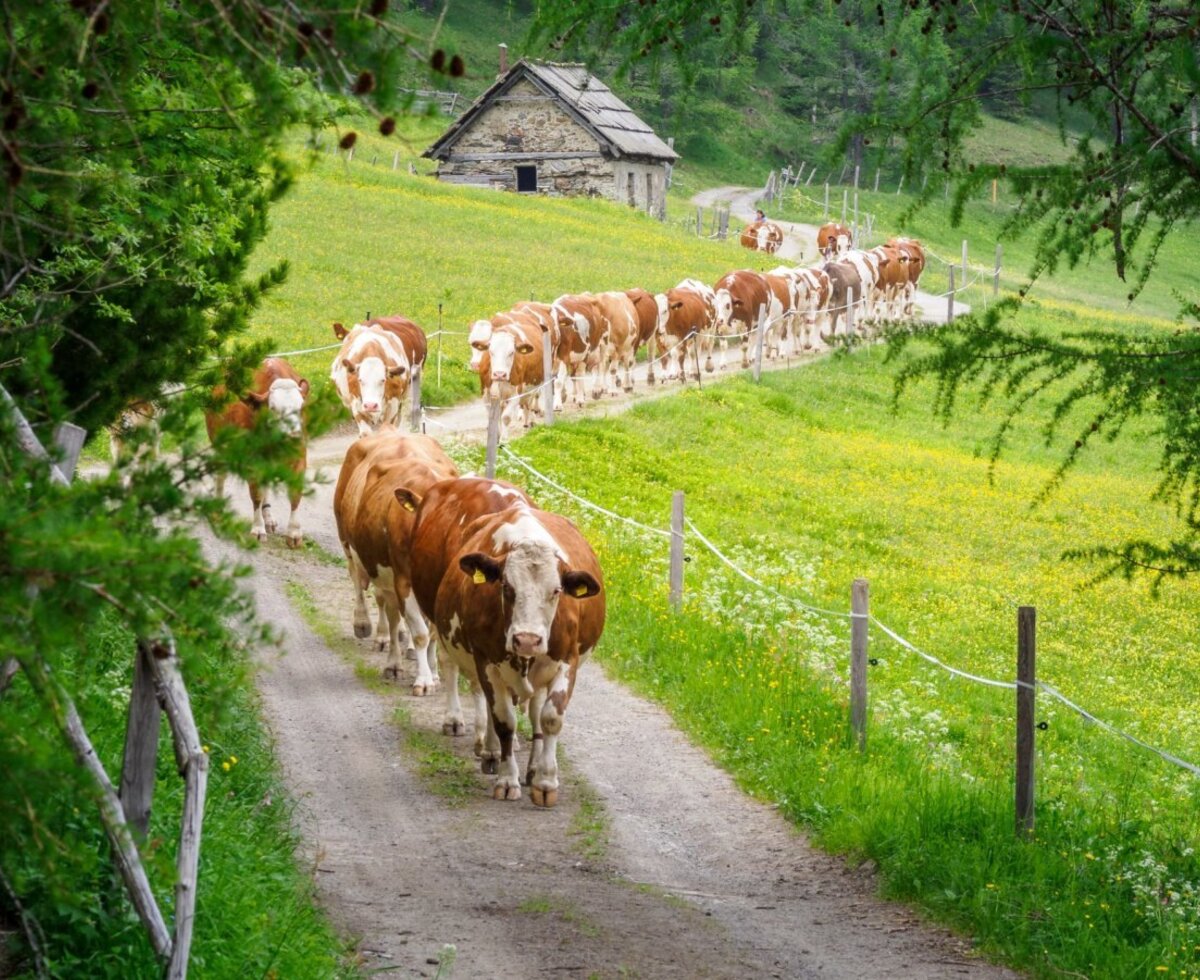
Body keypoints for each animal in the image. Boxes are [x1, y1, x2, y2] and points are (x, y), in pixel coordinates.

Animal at [205, 357, 309, 547]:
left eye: (300, 407)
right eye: (273, 408)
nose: (294, 436)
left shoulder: (299, 457)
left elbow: (295, 494)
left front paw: (294, 533)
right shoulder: (251, 459)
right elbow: (256, 495)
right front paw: (258, 529)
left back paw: (268, 518)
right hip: (219, 445)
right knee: (221, 475)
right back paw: (218, 511)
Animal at [333, 429, 458, 692]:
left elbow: (432, 631)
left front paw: (433, 673)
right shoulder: (403, 580)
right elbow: (420, 632)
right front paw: (423, 679)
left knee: (392, 613)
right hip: (350, 544)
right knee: (367, 591)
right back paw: (375, 639)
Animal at [434, 504, 604, 806]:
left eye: (556, 591)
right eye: (506, 587)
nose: (527, 640)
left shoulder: (567, 662)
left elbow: (550, 718)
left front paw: (545, 782)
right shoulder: (487, 663)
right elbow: (504, 721)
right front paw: (506, 779)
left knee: (536, 713)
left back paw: (534, 767)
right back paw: (492, 753)